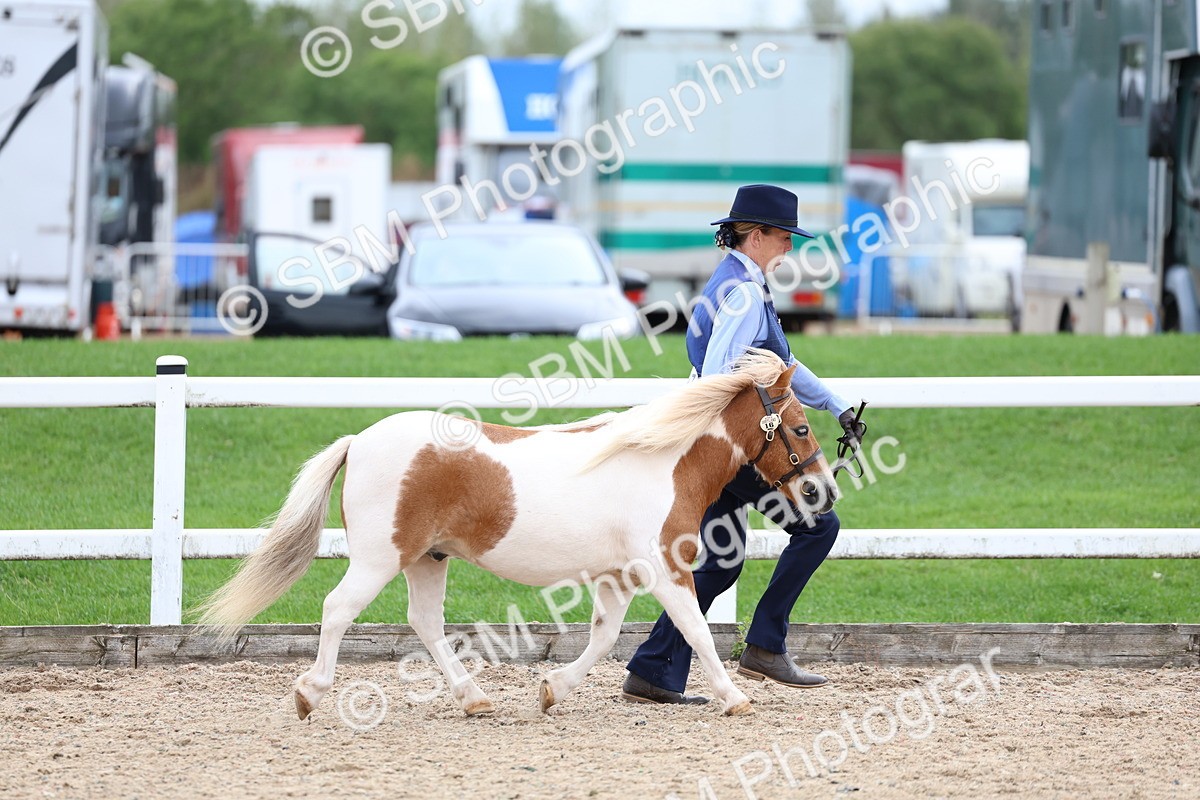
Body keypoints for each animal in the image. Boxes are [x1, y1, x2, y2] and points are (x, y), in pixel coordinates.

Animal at [196, 348, 838, 718]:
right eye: (801, 427)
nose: (822, 493)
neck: (662, 461)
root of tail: (359, 440)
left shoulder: (618, 575)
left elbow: (604, 637)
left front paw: (552, 689)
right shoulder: (664, 568)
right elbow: (698, 632)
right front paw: (736, 698)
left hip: (428, 559)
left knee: (425, 622)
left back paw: (474, 699)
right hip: (380, 559)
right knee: (336, 609)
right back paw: (310, 694)